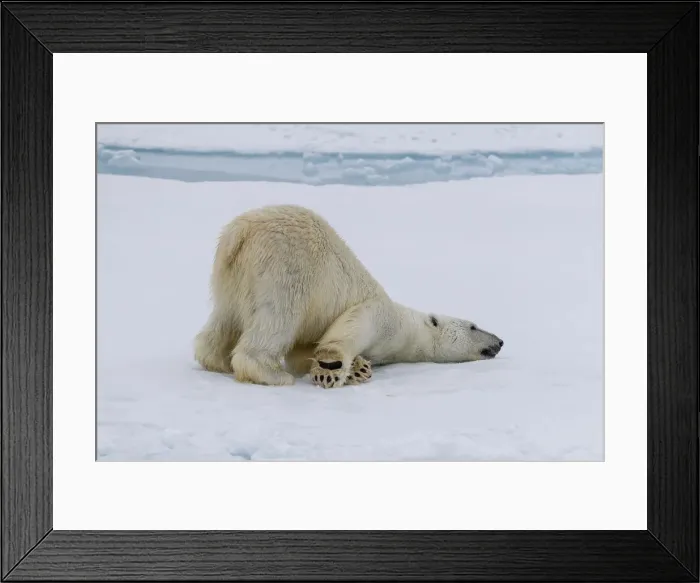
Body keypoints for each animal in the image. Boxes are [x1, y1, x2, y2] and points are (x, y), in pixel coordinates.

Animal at [194, 204, 503, 388]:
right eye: (474, 326)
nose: (499, 341)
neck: (407, 328)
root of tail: (240, 232)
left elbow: (303, 351)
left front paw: (358, 368)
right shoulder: (379, 314)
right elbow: (348, 328)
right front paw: (332, 367)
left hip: (230, 279)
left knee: (224, 320)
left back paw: (216, 360)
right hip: (285, 270)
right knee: (277, 320)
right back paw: (272, 374)